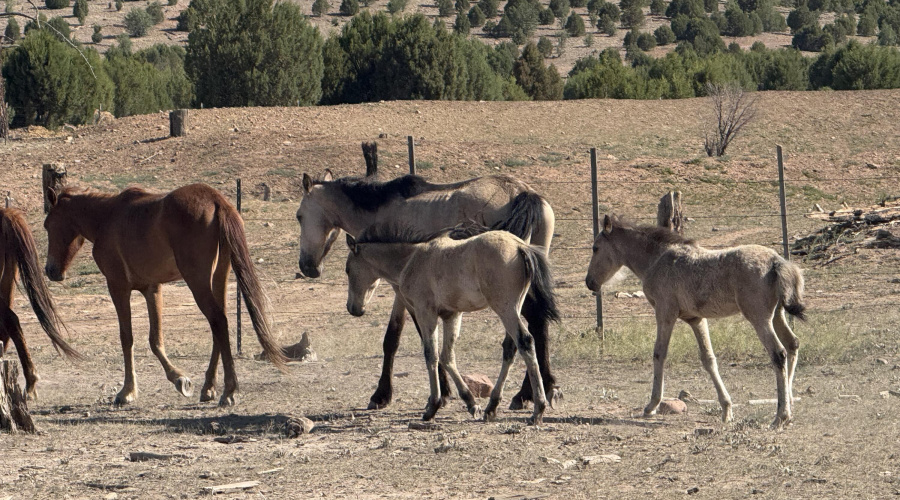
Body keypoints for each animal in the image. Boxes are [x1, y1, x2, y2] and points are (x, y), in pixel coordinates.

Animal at [43, 184, 287, 406]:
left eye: (47, 226)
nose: (50, 270)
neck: (106, 217)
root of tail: (216, 200)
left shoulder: (118, 287)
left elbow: (127, 338)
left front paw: (128, 391)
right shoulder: (152, 288)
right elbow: (155, 339)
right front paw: (179, 379)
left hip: (198, 282)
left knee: (218, 321)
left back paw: (228, 391)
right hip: (219, 277)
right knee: (220, 325)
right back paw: (209, 388)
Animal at [344, 225, 560, 425]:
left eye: (347, 269)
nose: (353, 309)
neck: (411, 259)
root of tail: (520, 246)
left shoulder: (425, 313)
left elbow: (431, 355)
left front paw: (433, 407)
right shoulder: (451, 315)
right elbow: (447, 356)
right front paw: (471, 403)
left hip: (505, 308)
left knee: (525, 342)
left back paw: (538, 409)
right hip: (514, 307)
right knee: (510, 348)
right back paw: (492, 407)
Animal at [585, 215, 806, 430]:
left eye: (596, 248)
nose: (589, 282)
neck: (656, 259)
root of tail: (777, 262)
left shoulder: (665, 312)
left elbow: (659, 354)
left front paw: (652, 405)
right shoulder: (696, 319)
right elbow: (708, 359)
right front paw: (727, 410)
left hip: (759, 317)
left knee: (778, 353)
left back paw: (780, 416)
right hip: (777, 315)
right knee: (792, 343)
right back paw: (790, 406)